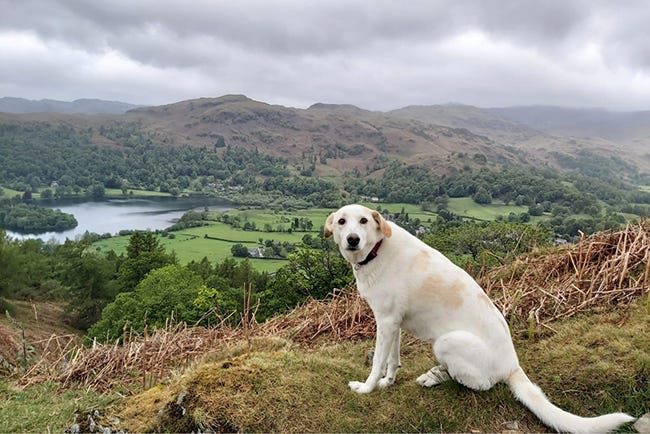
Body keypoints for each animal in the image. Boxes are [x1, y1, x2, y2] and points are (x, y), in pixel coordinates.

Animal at [324, 204, 632, 434]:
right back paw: (433, 374)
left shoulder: (386, 322)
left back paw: (440, 378)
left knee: (482, 383)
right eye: (341, 222)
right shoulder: (393, 322)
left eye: (363, 221)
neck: (377, 249)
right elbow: (392, 360)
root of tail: (512, 365)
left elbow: (377, 361)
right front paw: (388, 382)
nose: (353, 239)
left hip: (448, 342)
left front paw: (366, 388)